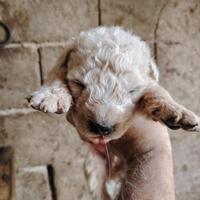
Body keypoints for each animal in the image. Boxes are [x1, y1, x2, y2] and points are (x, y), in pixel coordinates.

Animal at [27, 27, 200, 200]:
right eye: (79, 84)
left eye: (132, 90)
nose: (102, 128)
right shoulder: (59, 68)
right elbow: (56, 79)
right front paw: (50, 96)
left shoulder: (149, 84)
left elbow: (157, 91)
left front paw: (179, 112)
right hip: (94, 169)